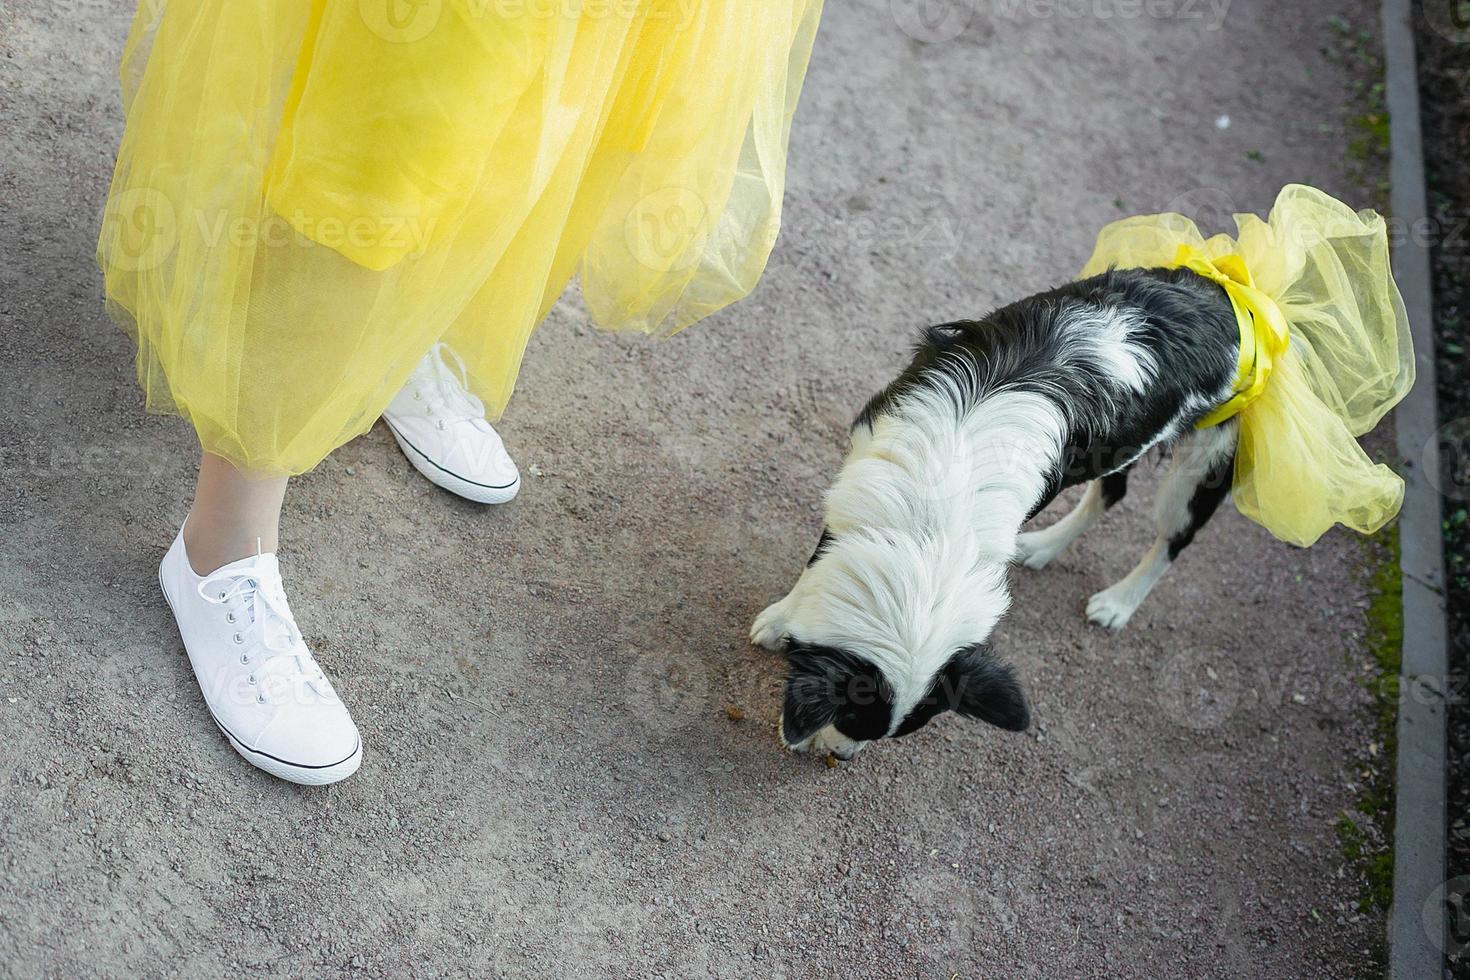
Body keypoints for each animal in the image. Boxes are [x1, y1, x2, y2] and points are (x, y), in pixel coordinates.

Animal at [752, 264, 1246, 764]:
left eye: (888, 731)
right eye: (852, 717)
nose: (844, 757)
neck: (934, 521)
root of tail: (1224, 288)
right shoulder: (862, 465)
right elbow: (820, 557)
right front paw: (781, 618)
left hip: (1204, 462)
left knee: (1173, 538)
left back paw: (1118, 602)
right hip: (1128, 443)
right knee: (1113, 491)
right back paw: (1046, 546)